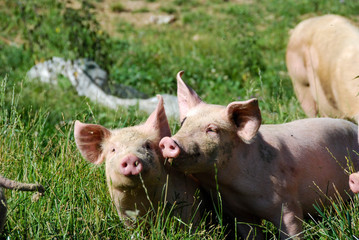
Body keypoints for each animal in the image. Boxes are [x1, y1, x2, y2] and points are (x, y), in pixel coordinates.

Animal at [161, 72, 359, 239]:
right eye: (183, 122)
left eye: (212, 129)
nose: (168, 141)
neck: (234, 188)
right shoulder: (238, 212)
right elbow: (250, 233)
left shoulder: (287, 202)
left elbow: (292, 230)